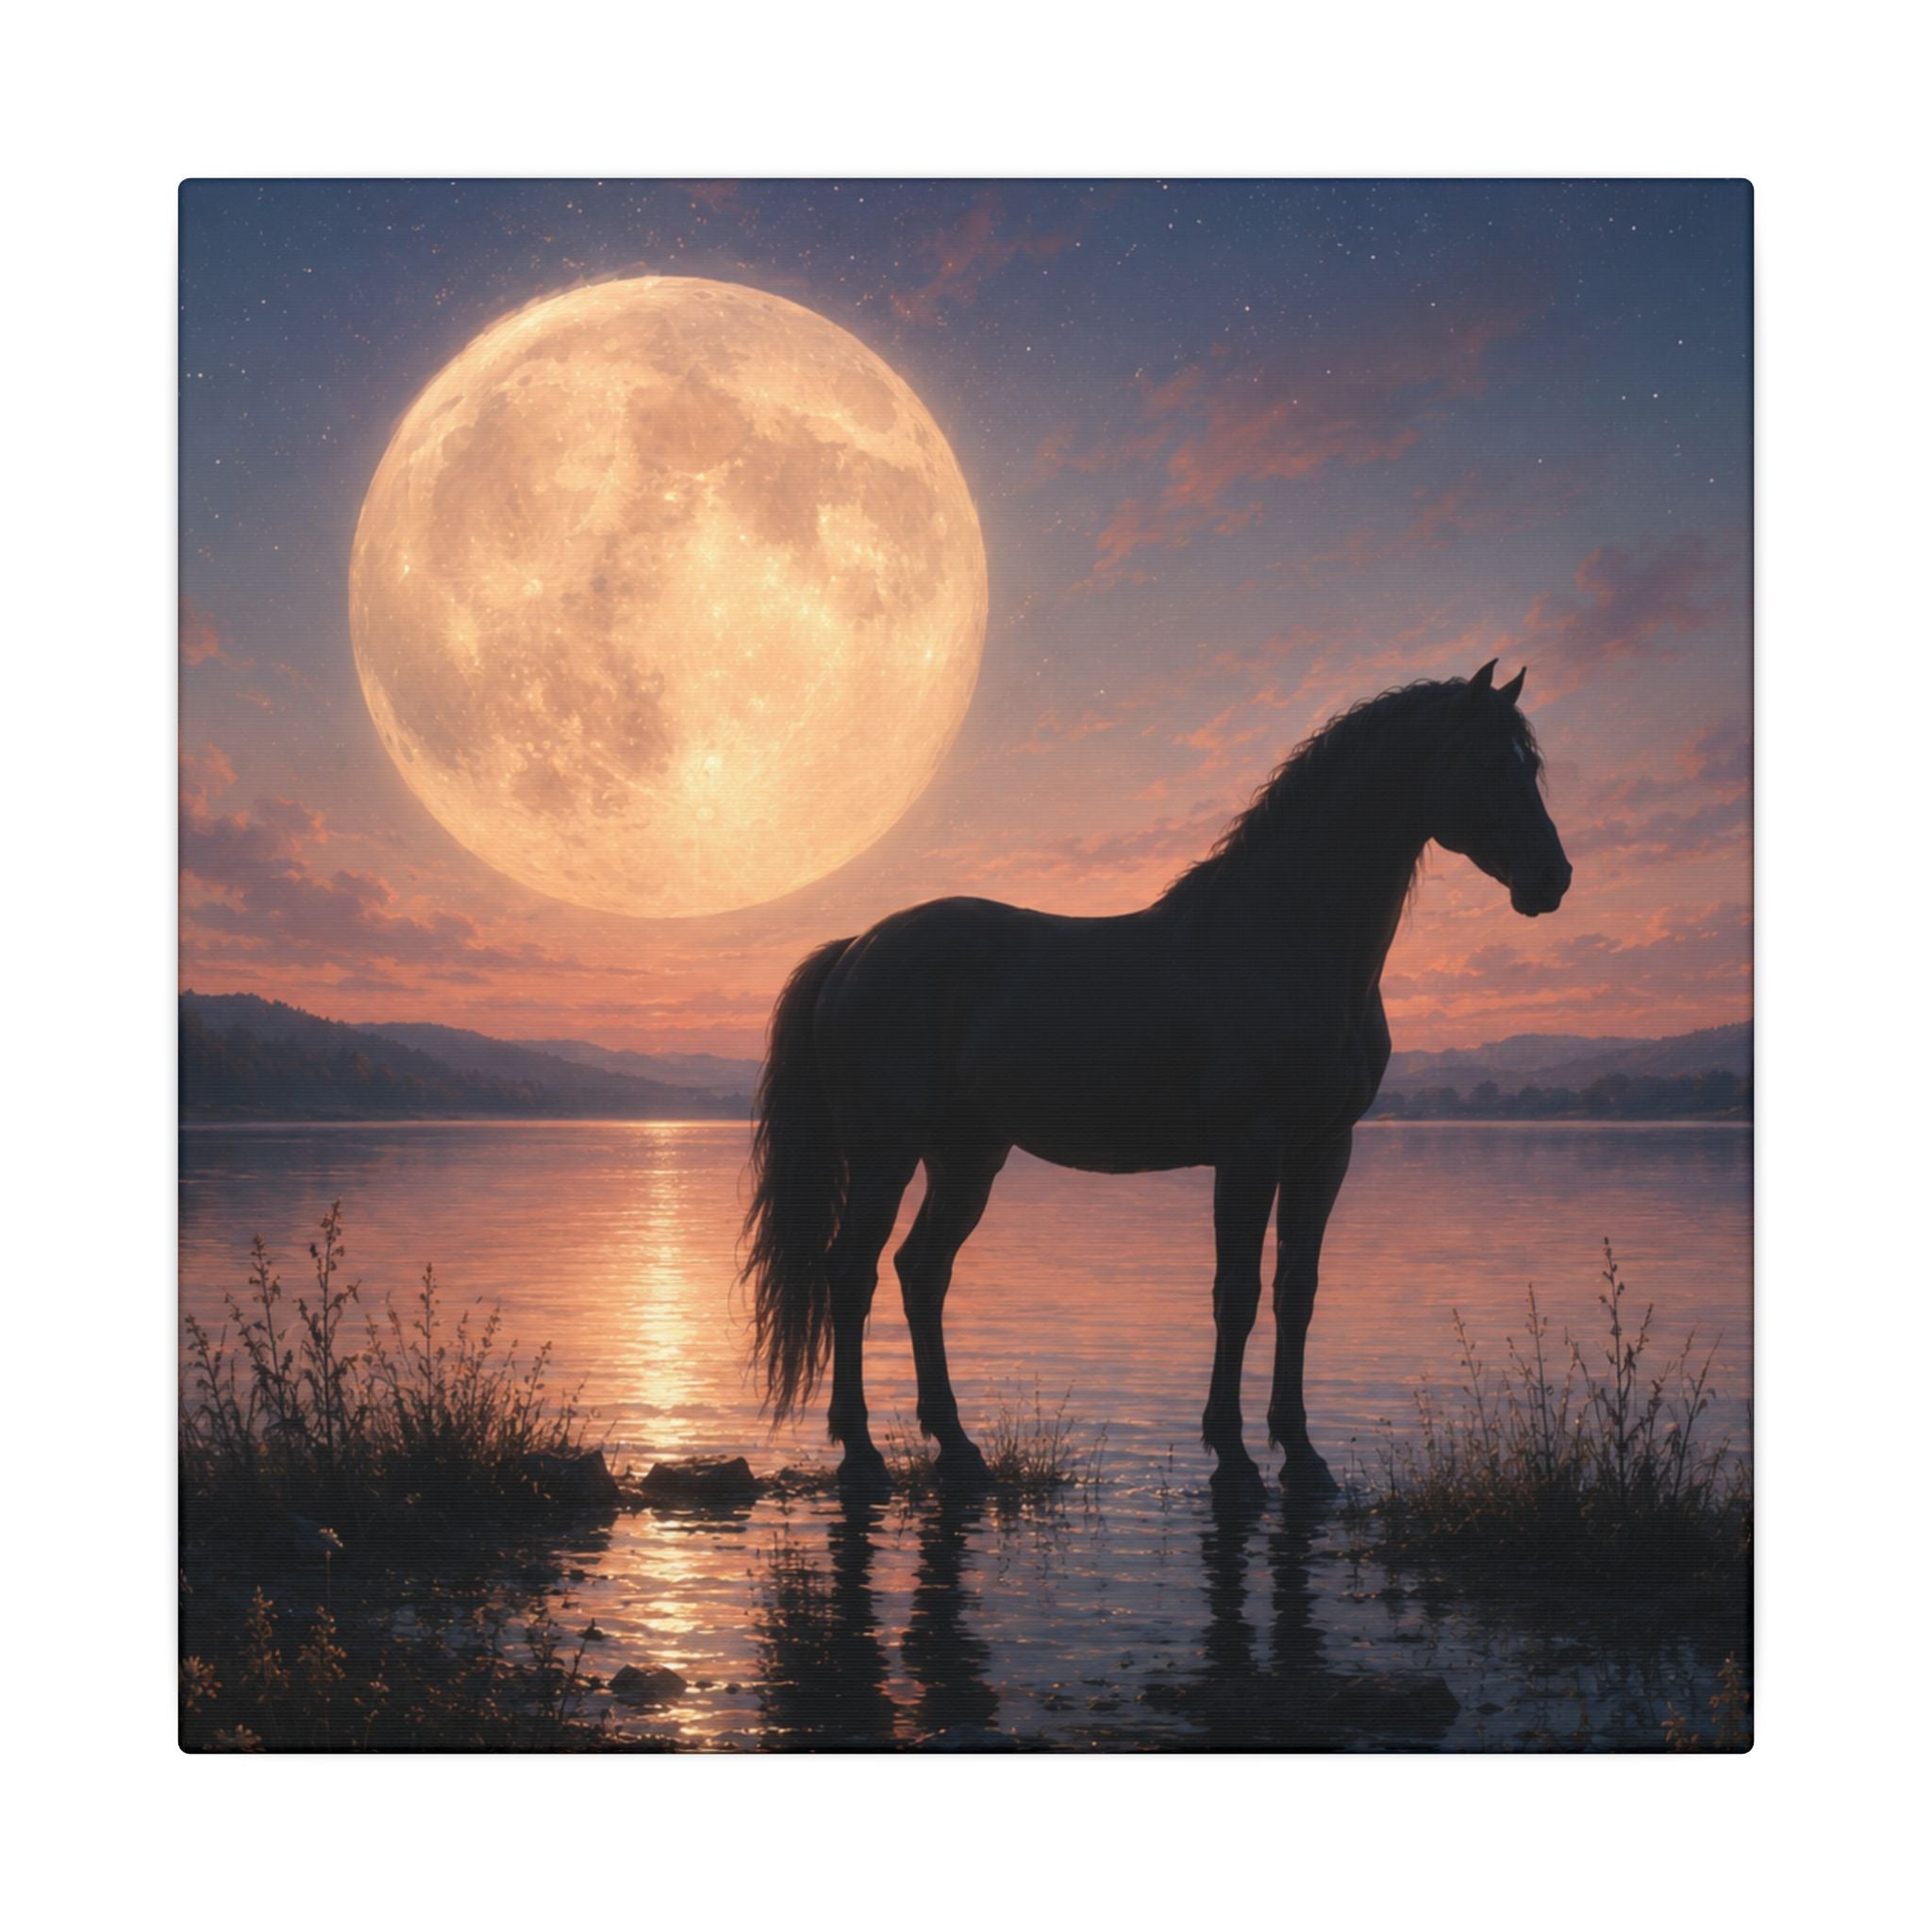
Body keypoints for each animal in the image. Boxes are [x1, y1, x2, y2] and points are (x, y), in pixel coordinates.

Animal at [741, 661, 1572, 1500]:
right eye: (1486, 760)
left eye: (1530, 765)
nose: (1553, 878)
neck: (1288, 942)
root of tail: (858, 947)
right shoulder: (1249, 1152)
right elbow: (1235, 1294)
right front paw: (1234, 1458)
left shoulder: (1323, 1151)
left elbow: (1295, 1292)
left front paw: (1303, 1457)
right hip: (885, 1155)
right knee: (852, 1274)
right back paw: (861, 1452)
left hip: (967, 1158)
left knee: (921, 1273)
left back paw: (957, 1447)